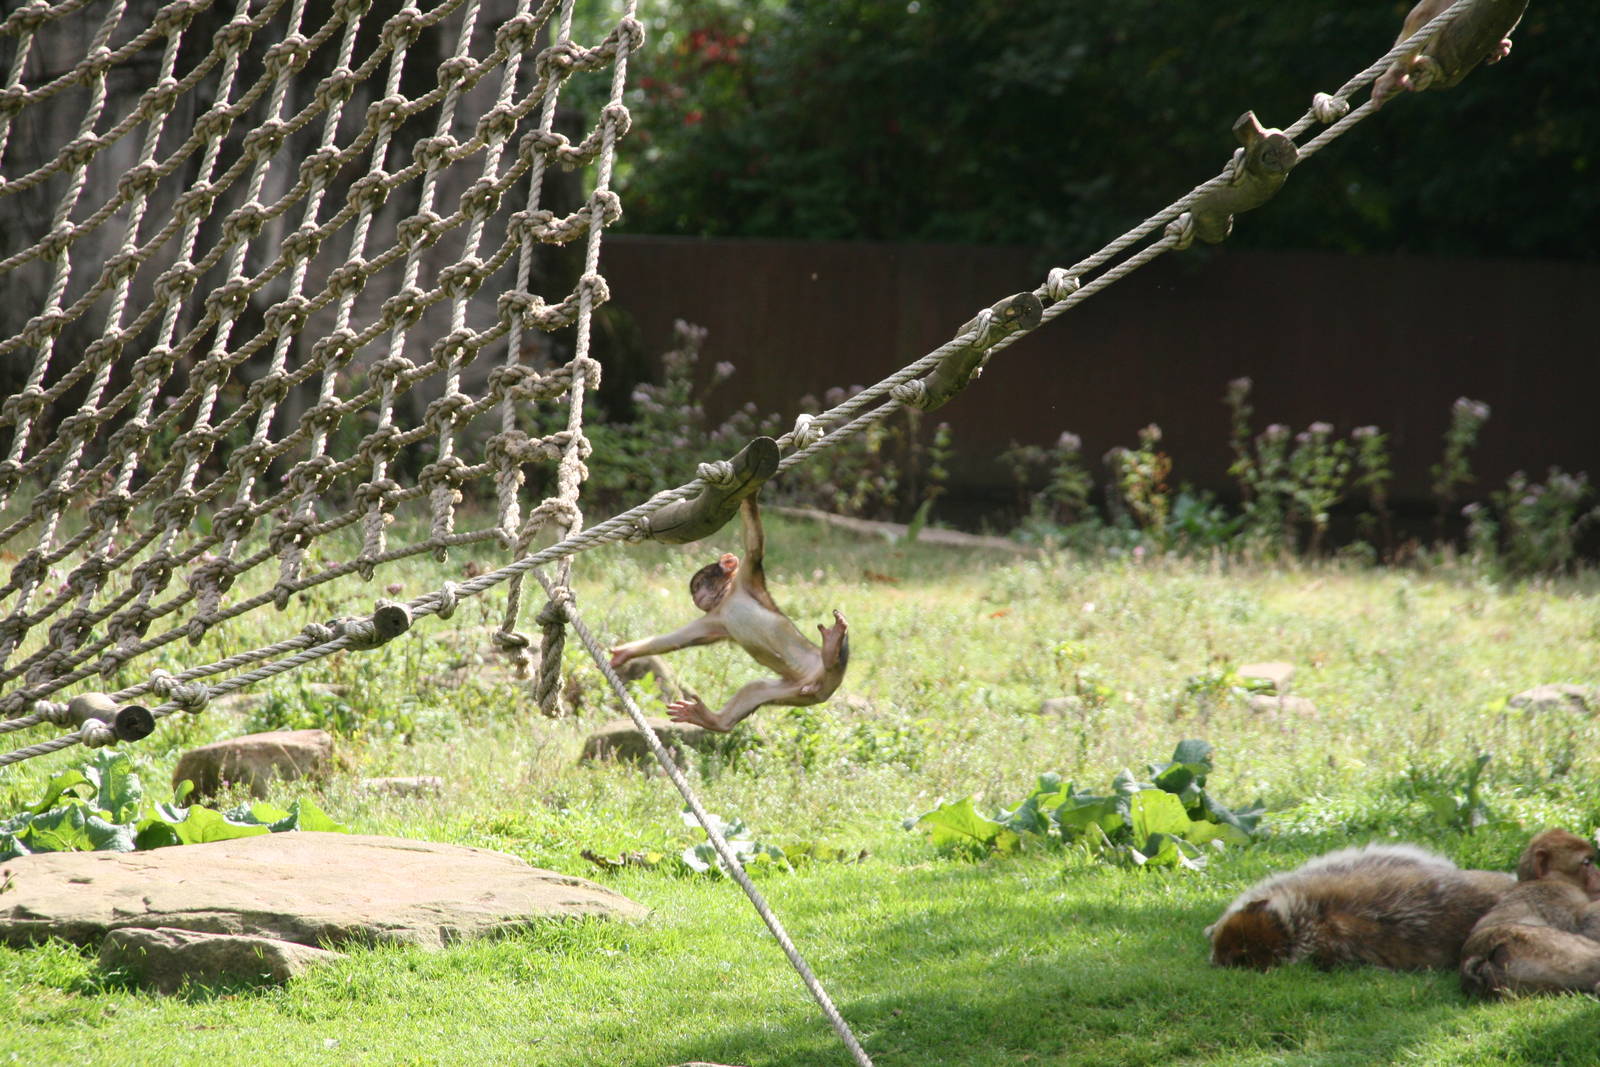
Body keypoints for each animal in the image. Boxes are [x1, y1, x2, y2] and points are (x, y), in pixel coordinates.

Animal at [608, 497, 849, 733]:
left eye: (698, 585)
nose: (696, 597)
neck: (727, 598)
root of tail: (817, 686)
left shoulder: (746, 576)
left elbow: (754, 541)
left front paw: (748, 496)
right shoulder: (715, 618)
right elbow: (679, 638)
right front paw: (625, 653)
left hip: (829, 675)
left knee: (835, 662)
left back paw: (832, 648)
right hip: (795, 693)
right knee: (754, 691)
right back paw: (712, 720)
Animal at [1459, 829, 1600, 998]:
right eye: (1587, 863)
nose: (1599, 874)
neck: (1539, 880)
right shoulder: (1558, 894)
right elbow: (1585, 926)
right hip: (1544, 948)